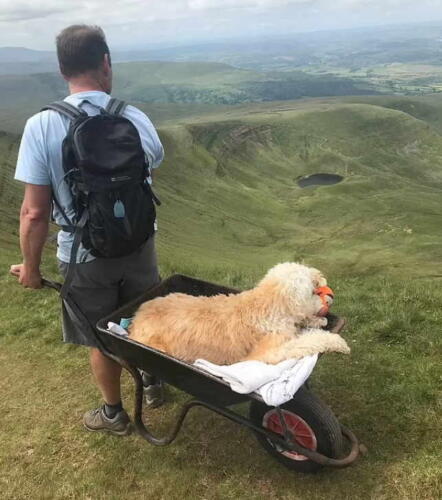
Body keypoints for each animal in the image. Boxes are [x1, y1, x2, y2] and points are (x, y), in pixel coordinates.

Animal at [129, 264, 352, 366]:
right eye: (314, 291)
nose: (322, 279)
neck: (268, 305)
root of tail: (135, 317)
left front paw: (320, 321)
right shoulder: (267, 354)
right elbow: (308, 341)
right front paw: (338, 342)